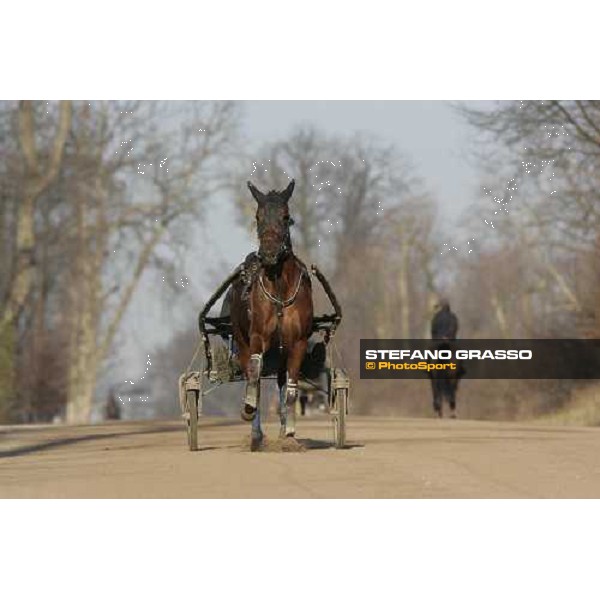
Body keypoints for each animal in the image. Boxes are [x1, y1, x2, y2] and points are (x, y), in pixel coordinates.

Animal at [229, 178, 314, 450]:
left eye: (286, 217)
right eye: (258, 216)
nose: (268, 254)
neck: (279, 288)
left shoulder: (297, 342)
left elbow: (292, 386)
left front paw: (290, 434)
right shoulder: (257, 337)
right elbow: (255, 375)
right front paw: (248, 411)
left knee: (281, 381)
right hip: (241, 339)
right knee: (251, 373)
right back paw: (256, 433)